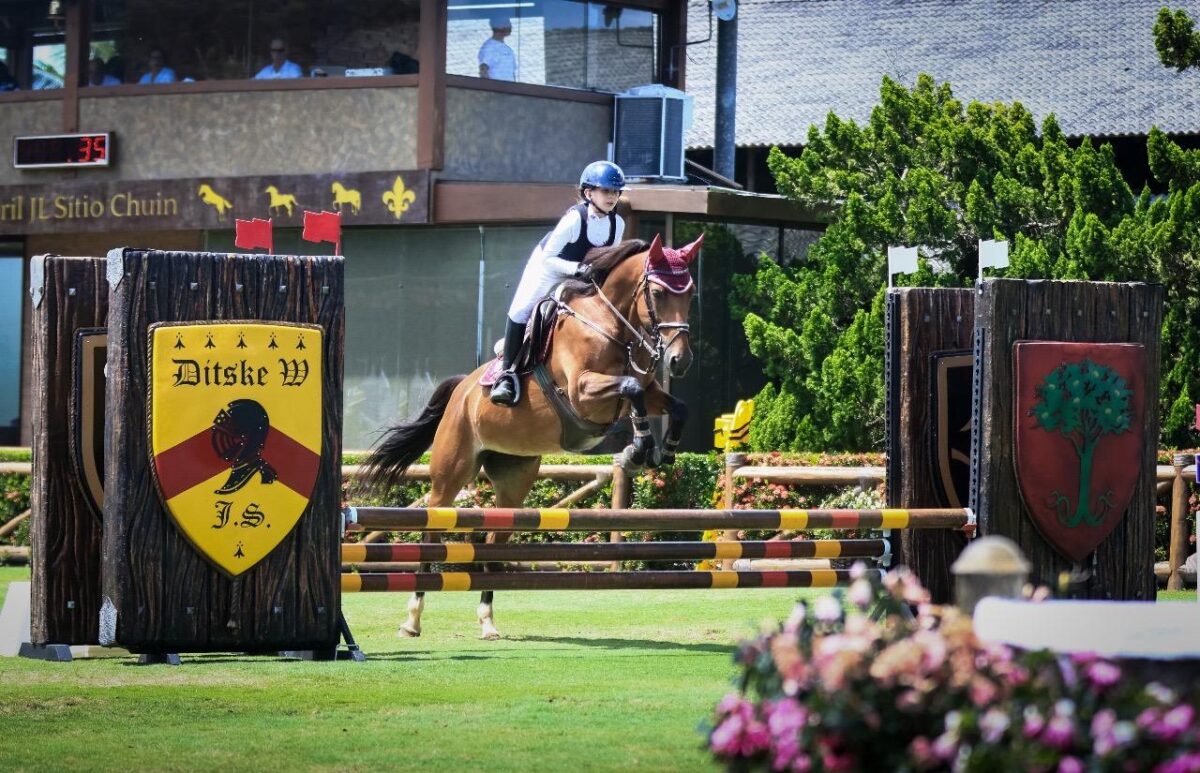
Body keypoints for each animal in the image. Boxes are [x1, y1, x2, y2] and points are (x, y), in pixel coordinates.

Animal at [355, 234, 700, 638]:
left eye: (690, 293)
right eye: (658, 293)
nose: (680, 361)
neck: (609, 325)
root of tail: (462, 389)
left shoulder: (646, 391)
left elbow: (674, 405)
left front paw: (663, 452)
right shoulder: (582, 392)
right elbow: (629, 388)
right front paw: (639, 449)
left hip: (514, 479)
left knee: (493, 541)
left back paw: (487, 621)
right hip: (450, 471)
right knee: (432, 534)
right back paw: (412, 620)